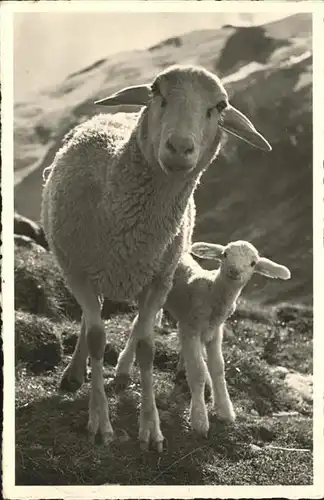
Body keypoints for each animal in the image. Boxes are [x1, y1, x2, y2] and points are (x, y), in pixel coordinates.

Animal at [41, 64, 272, 452]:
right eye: (156, 91)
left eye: (219, 106)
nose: (179, 147)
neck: (127, 225)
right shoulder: (79, 274)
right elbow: (96, 338)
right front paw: (100, 422)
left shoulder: (158, 281)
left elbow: (147, 347)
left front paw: (151, 428)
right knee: (90, 321)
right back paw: (75, 374)